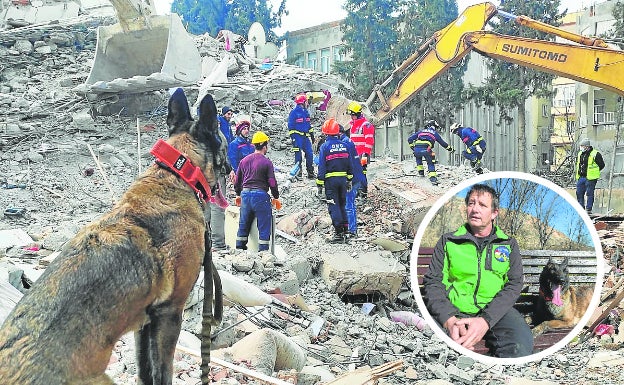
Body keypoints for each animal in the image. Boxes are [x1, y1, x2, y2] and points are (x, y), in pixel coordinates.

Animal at [0, 88, 224, 382]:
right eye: (223, 138)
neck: (174, 177)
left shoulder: (144, 322)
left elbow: (145, 372)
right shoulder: (170, 313)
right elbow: (162, 372)